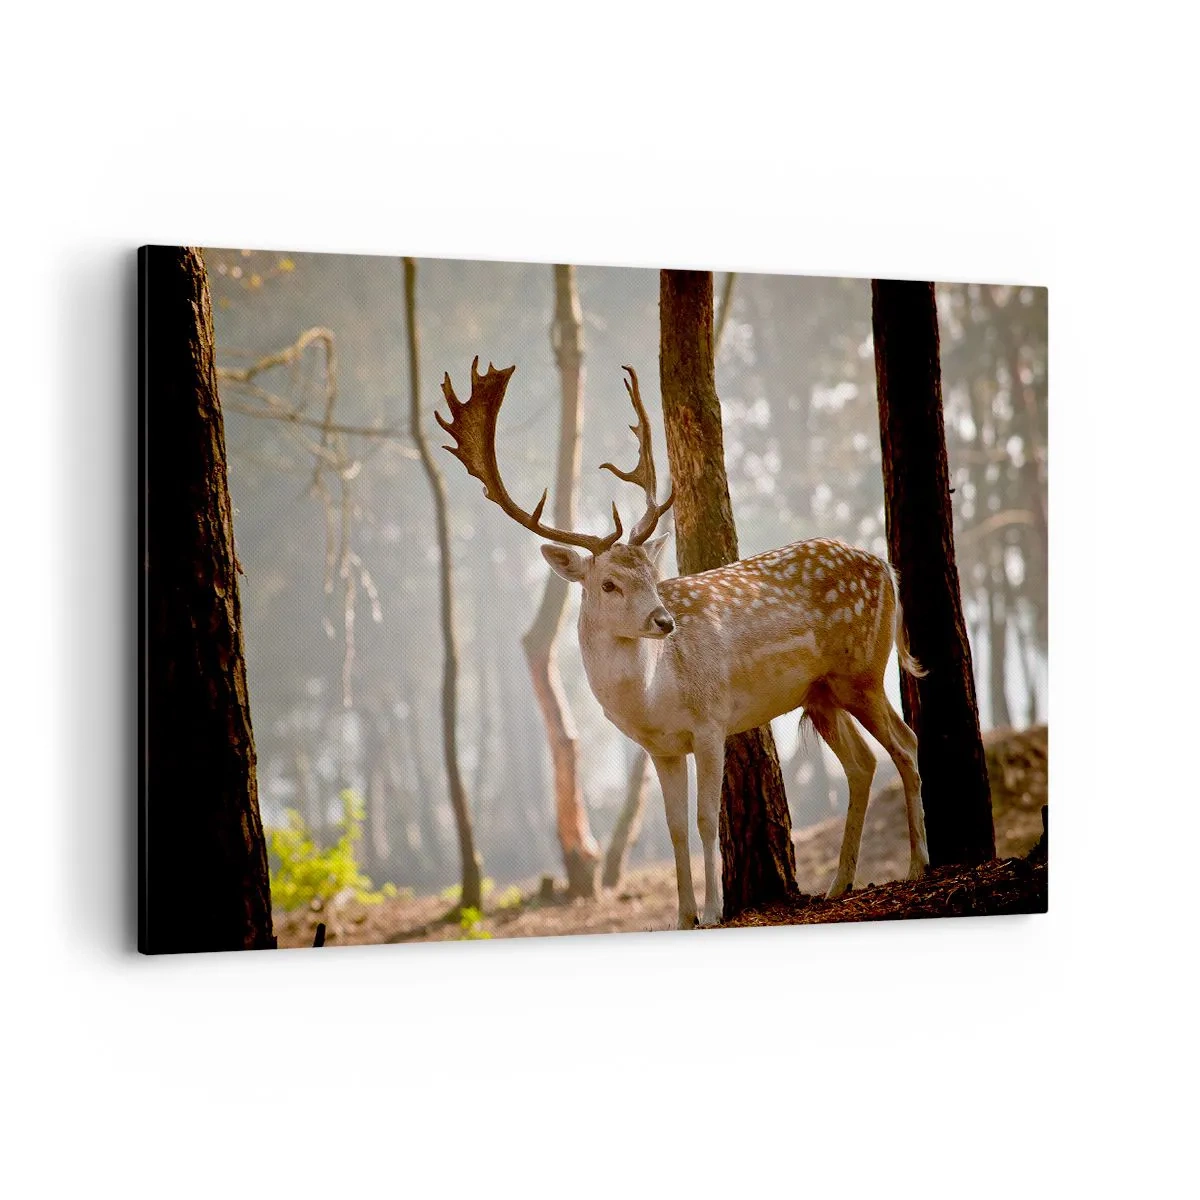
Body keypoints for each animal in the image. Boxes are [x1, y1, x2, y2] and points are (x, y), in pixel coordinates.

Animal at [438, 357, 929, 929]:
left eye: (653, 574)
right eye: (609, 583)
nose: (664, 621)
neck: (654, 697)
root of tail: (886, 568)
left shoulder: (712, 721)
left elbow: (704, 819)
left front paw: (714, 912)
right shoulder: (661, 748)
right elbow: (674, 826)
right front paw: (682, 915)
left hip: (861, 670)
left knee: (904, 743)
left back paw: (917, 865)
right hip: (821, 693)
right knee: (863, 763)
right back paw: (837, 885)